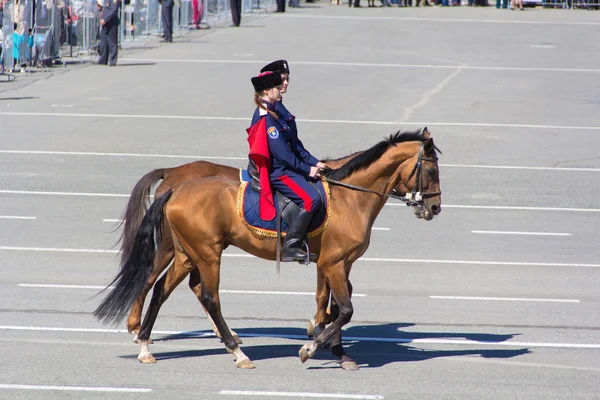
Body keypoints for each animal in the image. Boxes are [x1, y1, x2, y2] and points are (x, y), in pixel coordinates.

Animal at [95, 130, 440, 370]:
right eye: (432, 171)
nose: (435, 207)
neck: (348, 196)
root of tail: (177, 182)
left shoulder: (335, 263)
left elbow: (331, 304)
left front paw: (332, 345)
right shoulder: (333, 263)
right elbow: (344, 308)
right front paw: (314, 346)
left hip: (187, 254)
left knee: (162, 288)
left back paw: (146, 345)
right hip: (204, 253)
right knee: (196, 292)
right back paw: (234, 350)